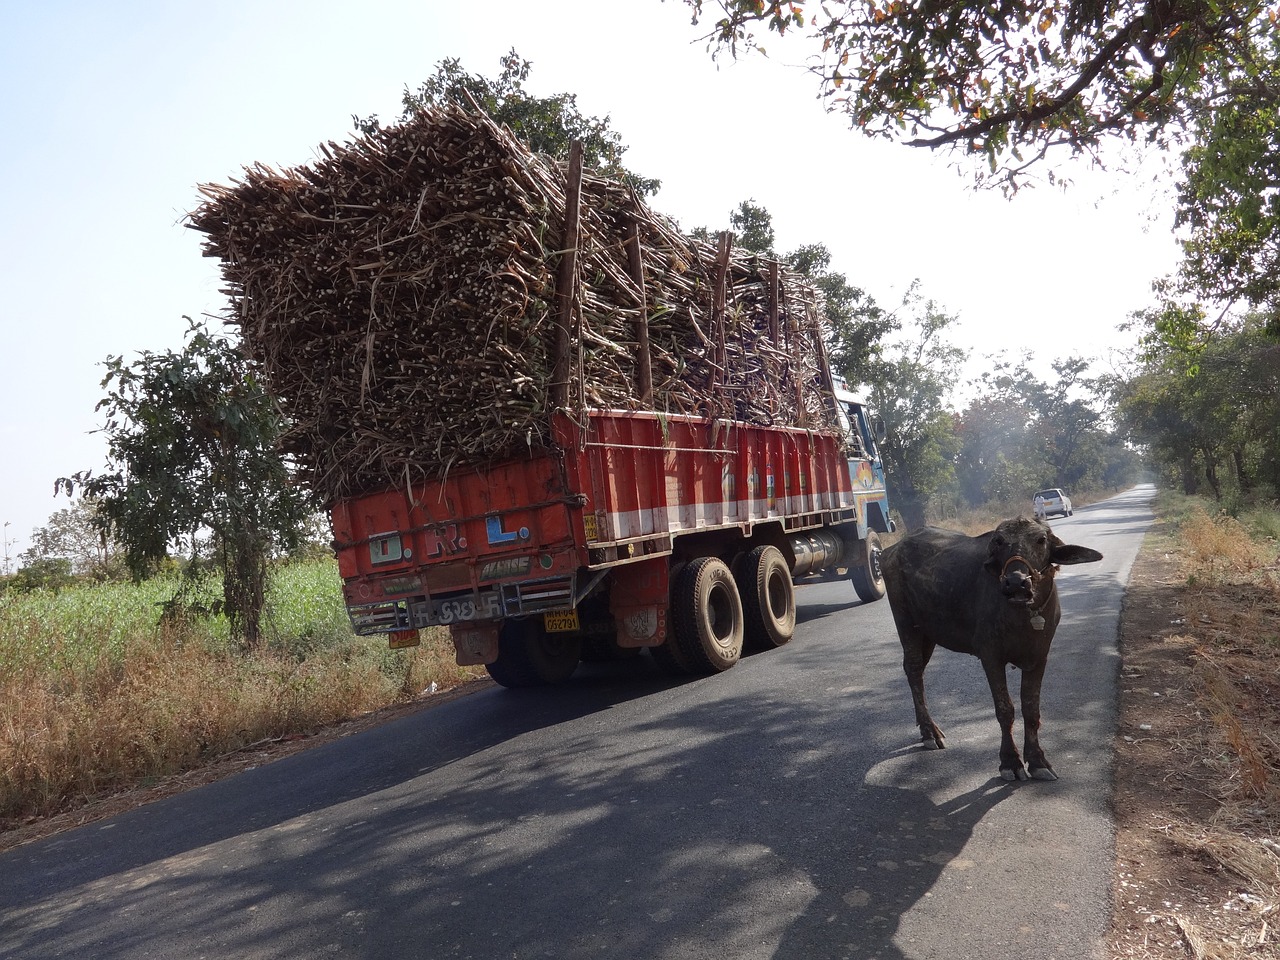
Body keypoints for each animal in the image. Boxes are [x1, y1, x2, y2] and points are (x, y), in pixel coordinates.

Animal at [885, 519, 1105, 783]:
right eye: (999, 542)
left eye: (1041, 540)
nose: (1016, 582)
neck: (1023, 615)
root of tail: (892, 550)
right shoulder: (990, 656)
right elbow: (1005, 709)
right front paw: (1010, 762)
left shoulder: (1039, 657)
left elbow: (1031, 709)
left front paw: (1038, 761)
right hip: (907, 625)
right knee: (914, 669)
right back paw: (930, 732)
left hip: (929, 633)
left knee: (916, 670)